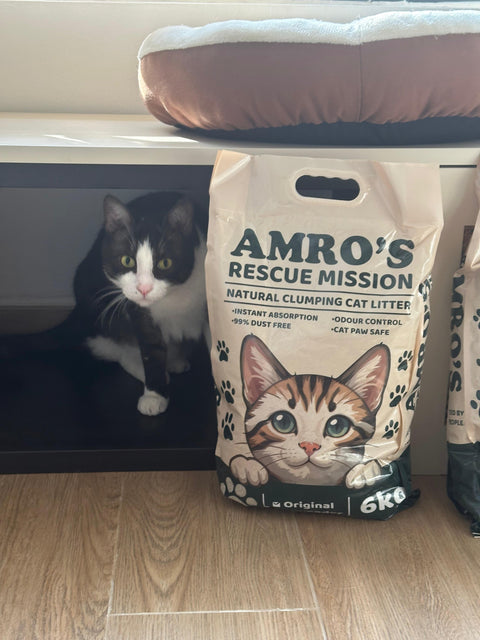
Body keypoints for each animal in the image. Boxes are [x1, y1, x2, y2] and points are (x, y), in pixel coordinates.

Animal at [2, 191, 208, 416]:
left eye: (165, 263)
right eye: (127, 260)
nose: (144, 289)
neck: (173, 300)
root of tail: (77, 314)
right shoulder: (138, 311)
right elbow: (150, 350)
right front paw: (154, 395)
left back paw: (176, 360)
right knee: (115, 350)